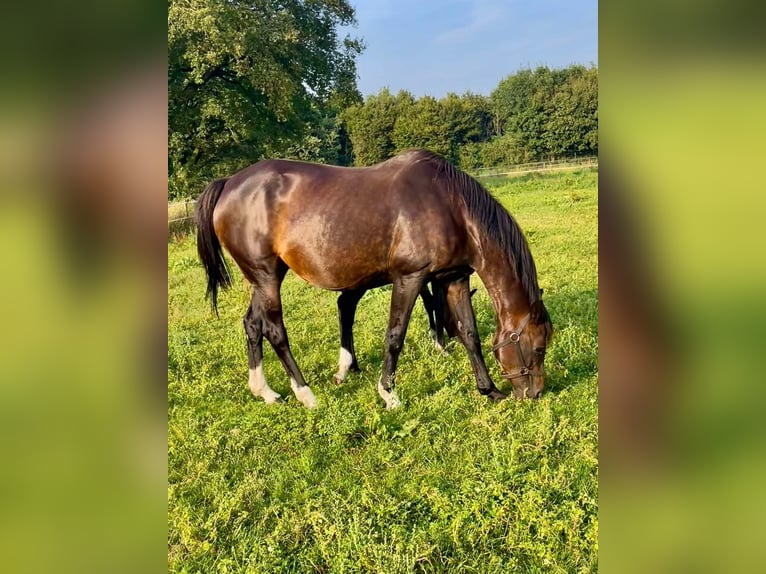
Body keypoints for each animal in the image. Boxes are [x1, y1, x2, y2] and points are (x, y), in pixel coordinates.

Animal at [196, 148, 552, 410]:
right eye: (538, 348)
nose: (534, 394)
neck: (451, 208)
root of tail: (229, 183)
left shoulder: (453, 278)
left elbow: (470, 334)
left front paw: (489, 389)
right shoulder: (410, 278)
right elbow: (395, 335)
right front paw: (388, 394)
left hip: (263, 278)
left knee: (252, 324)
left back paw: (265, 391)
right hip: (267, 277)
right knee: (274, 330)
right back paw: (306, 394)